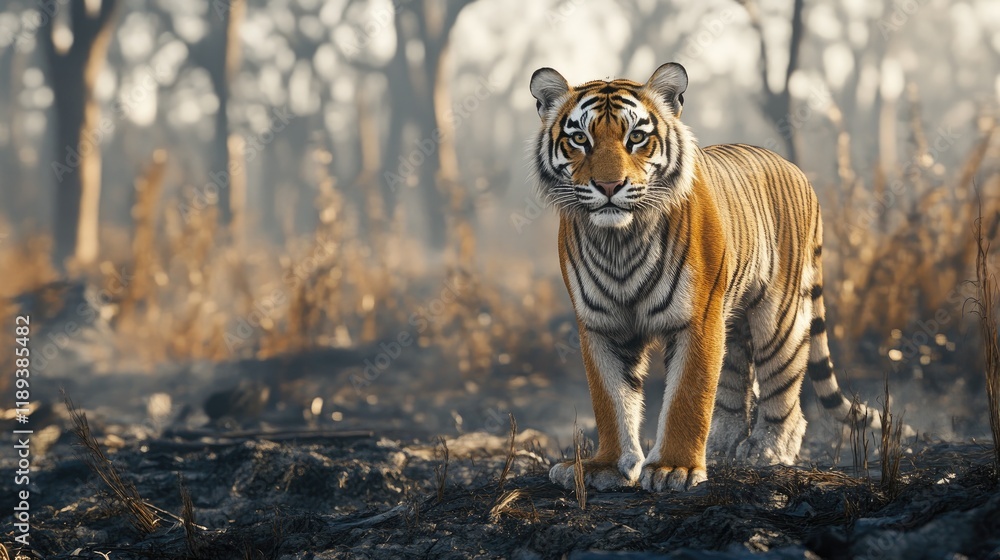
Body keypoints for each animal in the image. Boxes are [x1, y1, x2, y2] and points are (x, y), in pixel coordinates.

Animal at [529, 62, 884, 492]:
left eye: (636, 137)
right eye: (580, 139)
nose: (610, 186)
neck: (620, 240)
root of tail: (795, 168)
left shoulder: (697, 319)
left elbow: (688, 396)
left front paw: (674, 469)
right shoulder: (600, 325)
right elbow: (610, 399)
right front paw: (607, 467)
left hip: (779, 319)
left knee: (783, 393)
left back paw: (766, 451)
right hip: (731, 323)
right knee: (733, 386)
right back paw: (721, 447)